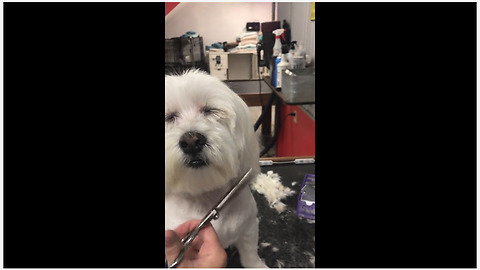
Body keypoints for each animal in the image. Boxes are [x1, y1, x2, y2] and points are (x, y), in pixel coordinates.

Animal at [166, 69, 268, 268]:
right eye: (169, 117)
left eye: (210, 110)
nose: (192, 141)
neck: (203, 195)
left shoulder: (249, 227)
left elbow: (250, 254)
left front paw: (258, 265)